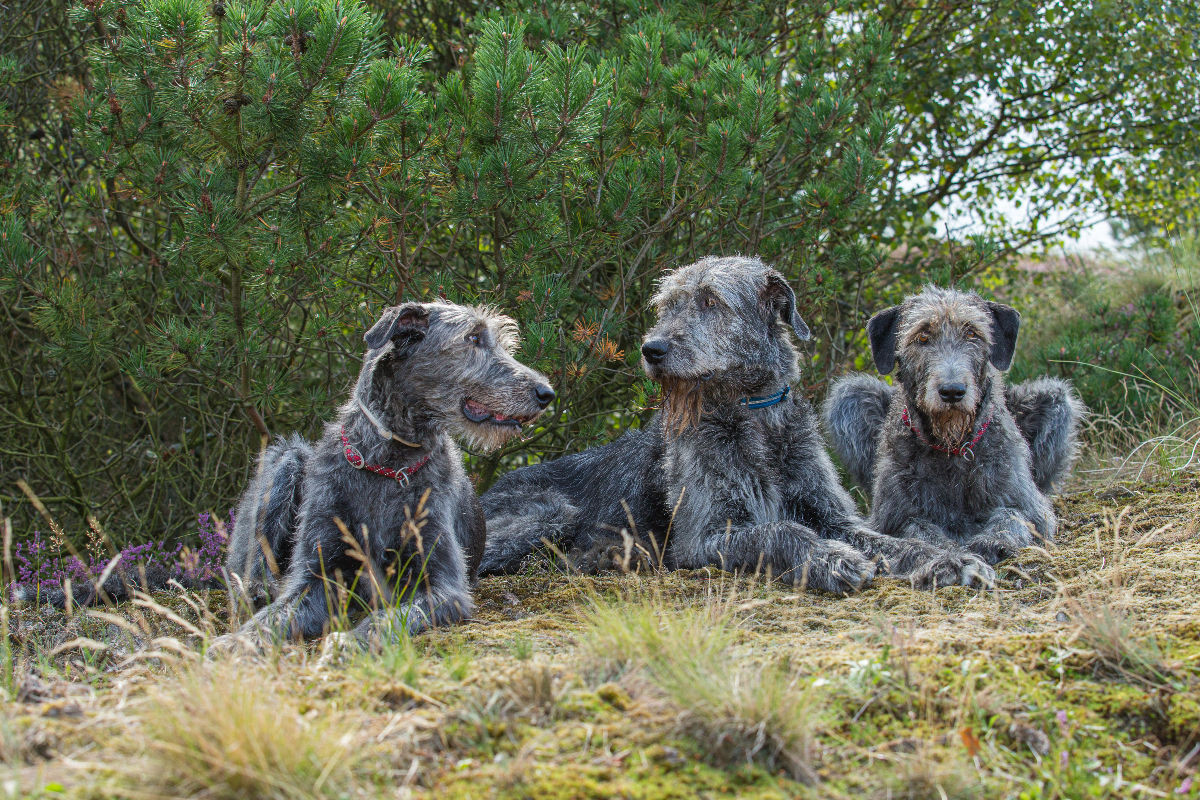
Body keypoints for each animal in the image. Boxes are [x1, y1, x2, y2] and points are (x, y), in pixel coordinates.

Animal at [214, 299, 552, 652]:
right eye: (473, 338)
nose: (546, 393)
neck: (387, 463)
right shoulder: (317, 574)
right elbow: (274, 615)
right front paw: (236, 642)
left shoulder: (442, 587)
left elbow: (386, 619)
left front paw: (348, 643)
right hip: (286, 461)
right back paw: (255, 587)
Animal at [477, 257, 993, 594]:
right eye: (668, 305)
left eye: (711, 301)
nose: (651, 349)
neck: (756, 415)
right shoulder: (701, 539)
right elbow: (782, 531)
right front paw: (829, 558)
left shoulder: (832, 514)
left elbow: (890, 539)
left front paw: (948, 559)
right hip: (549, 509)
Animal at [830, 286, 1084, 563]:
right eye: (922, 337)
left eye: (972, 333)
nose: (952, 391)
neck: (951, 446)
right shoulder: (893, 517)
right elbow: (918, 527)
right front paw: (948, 550)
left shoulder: (1029, 507)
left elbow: (1012, 517)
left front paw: (991, 541)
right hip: (849, 397)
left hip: (1055, 400)